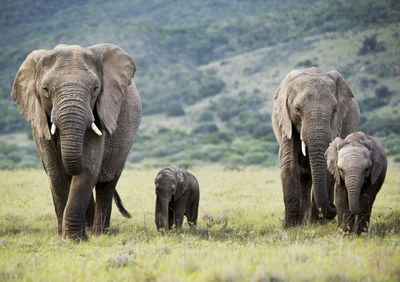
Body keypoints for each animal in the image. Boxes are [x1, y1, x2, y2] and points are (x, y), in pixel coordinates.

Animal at [10, 43, 141, 241]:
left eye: (95, 88)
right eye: (45, 89)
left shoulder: (100, 113)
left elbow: (87, 168)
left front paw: (75, 239)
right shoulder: (39, 118)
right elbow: (56, 172)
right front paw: (63, 238)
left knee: (106, 184)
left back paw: (99, 234)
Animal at [272, 67, 360, 228]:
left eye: (334, 110)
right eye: (297, 109)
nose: (333, 206)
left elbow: (329, 167)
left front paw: (317, 225)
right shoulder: (284, 120)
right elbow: (289, 163)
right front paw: (290, 227)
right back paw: (302, 223)